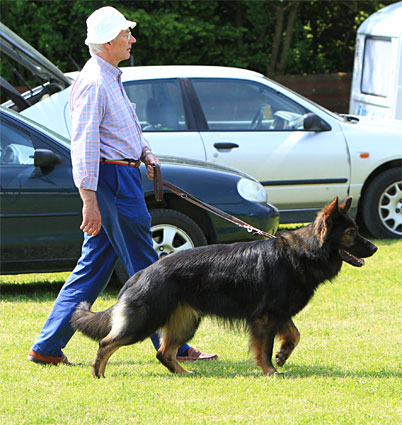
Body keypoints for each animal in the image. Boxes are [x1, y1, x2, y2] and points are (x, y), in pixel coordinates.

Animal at [71, 197, 377, 378]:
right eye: (351, 233)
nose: (374, 247)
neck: (303, 253)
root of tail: (140, 274)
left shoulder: (280, 314)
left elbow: (295, 335)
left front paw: (282, 355)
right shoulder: (266, 318)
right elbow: (265, 347)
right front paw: (270, 370)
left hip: (185, 323)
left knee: (163, 352)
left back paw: (184, 373)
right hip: (146, 321)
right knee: (106, 343)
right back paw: (98, 374)